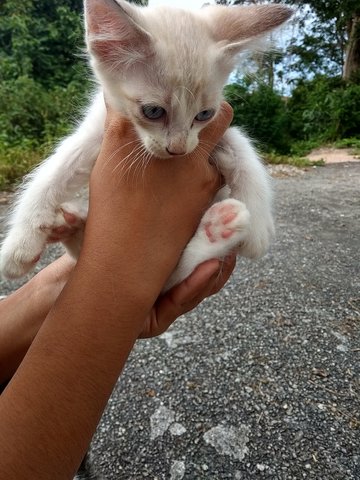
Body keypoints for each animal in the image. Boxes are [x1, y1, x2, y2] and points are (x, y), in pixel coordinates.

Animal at [0, 0, 292, 288]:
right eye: (153, 111)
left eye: (204, 114)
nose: (178, 149)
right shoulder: (94, 132)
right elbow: (52, 175)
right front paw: (19, 245)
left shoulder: (214, 135)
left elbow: (244, 152)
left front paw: (258, 229)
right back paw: (70, 225)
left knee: (173, 275)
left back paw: (220, 228)